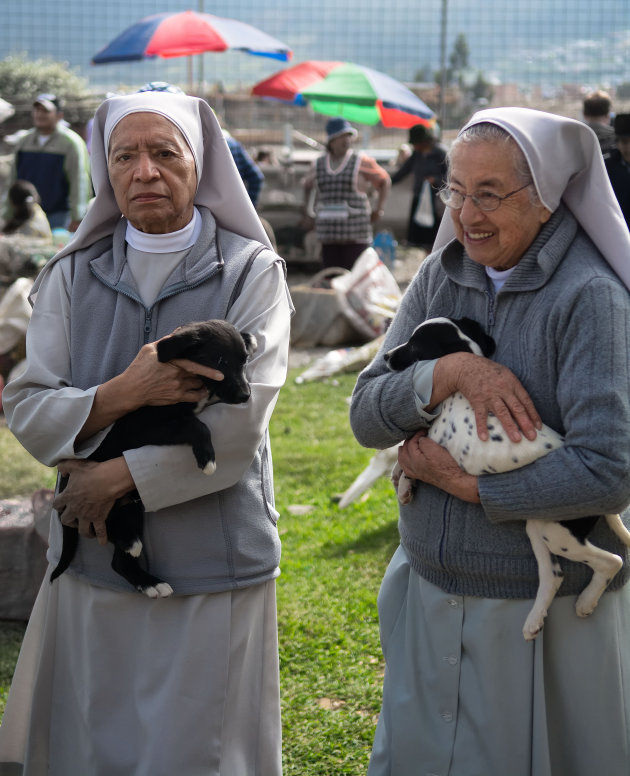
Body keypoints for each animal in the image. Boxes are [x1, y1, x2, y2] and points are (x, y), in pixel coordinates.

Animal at [49, 318, 256, 596]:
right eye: (220, 361)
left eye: (244, 361)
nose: (246, 396)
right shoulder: (145, 428)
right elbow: (195, 425)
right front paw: (207, 460)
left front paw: (248, 337)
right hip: (106, 508)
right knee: (118, 542)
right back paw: (133, 549)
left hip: (131, 507)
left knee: (119, 562)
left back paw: (151, 584)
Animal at [386, 316, 630, 644]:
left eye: (414, 346)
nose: (386, 357)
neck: (457, 395)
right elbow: (406, 447)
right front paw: (397, 476)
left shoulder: (436, 446)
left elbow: (411, 455)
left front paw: (404, 484)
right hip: (537, 527)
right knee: (553, 576)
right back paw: (534, 621)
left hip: (556, 531)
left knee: (611, 561)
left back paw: (585, 602)